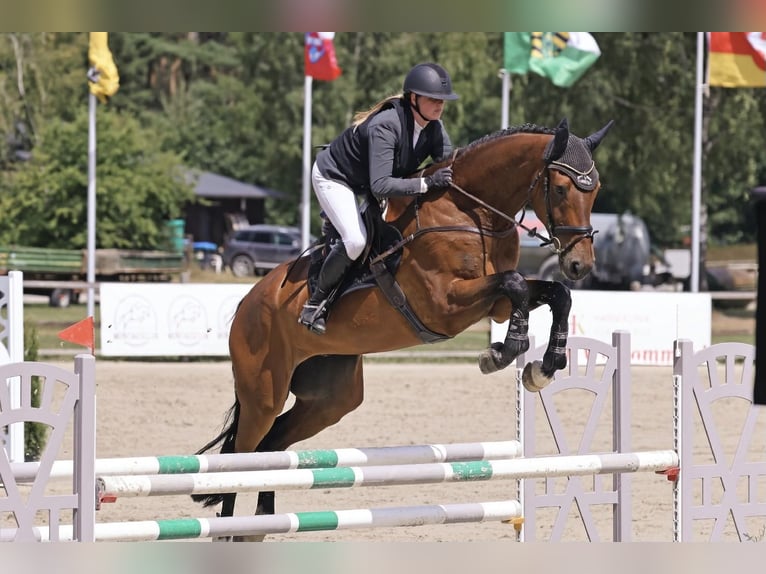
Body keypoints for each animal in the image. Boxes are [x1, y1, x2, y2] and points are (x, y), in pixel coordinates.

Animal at [192, 117, 613, 539]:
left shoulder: (494, 307)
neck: (471, 214)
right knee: (240, 453)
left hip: (329, 399)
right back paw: (230, 528)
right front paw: (500, 354)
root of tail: (246, 304)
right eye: (560, 188)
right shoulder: (445, 305)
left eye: (596, 191)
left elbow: (554, 294)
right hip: (264, 392)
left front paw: (544, 367)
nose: (580, 264)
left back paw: (261, 520)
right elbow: (514, 284)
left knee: (273, 443)